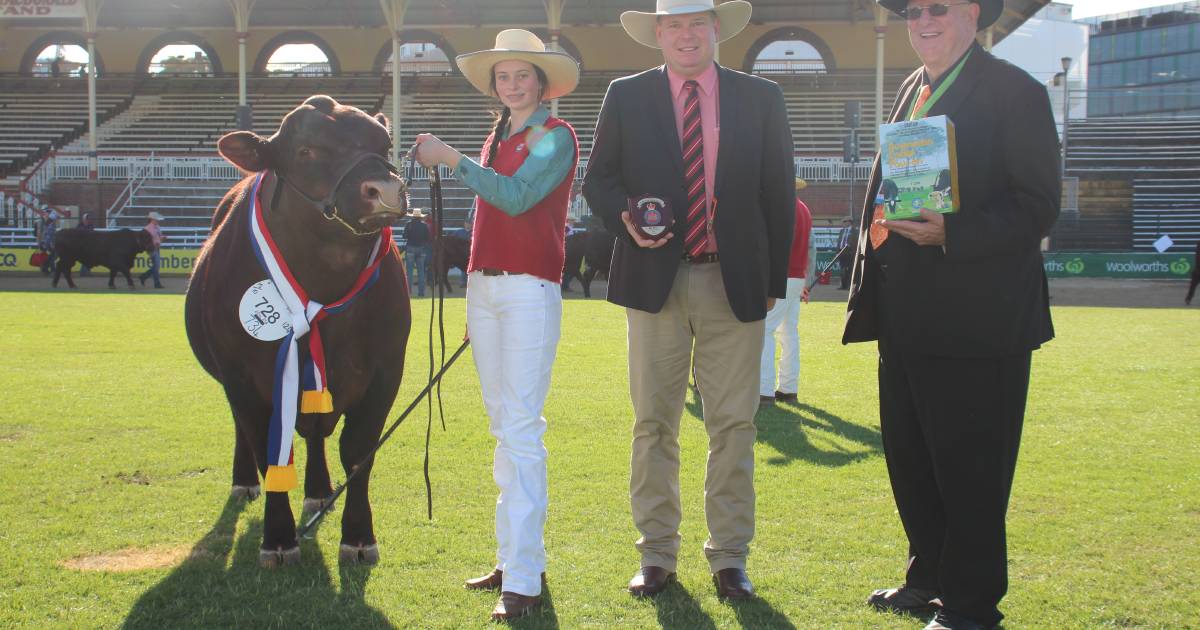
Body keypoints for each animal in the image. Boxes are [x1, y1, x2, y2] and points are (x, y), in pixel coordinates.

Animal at [184, 96, 412, 566]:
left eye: (384, 144)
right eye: (306, 150)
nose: (384, 189)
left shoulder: (385, 370)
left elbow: (358, 452)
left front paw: (358, 536)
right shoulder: (243, 374)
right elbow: (268, 448)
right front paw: (278, 537)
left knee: (316, 434)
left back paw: (319, 490)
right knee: (246, 430)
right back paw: (244, 482)